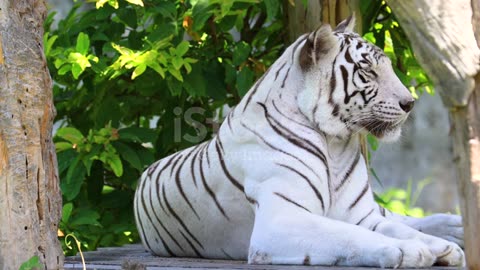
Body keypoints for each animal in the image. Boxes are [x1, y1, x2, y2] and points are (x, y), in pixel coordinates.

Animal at [133, 16, 464, 268]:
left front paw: (440, 247)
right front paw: (409, 250)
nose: (410, 103)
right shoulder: (280, 220)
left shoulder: (361, 214)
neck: (335, 143)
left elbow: (396, 227)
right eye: (368, 70)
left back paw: (455, 229)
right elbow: (350, 234)